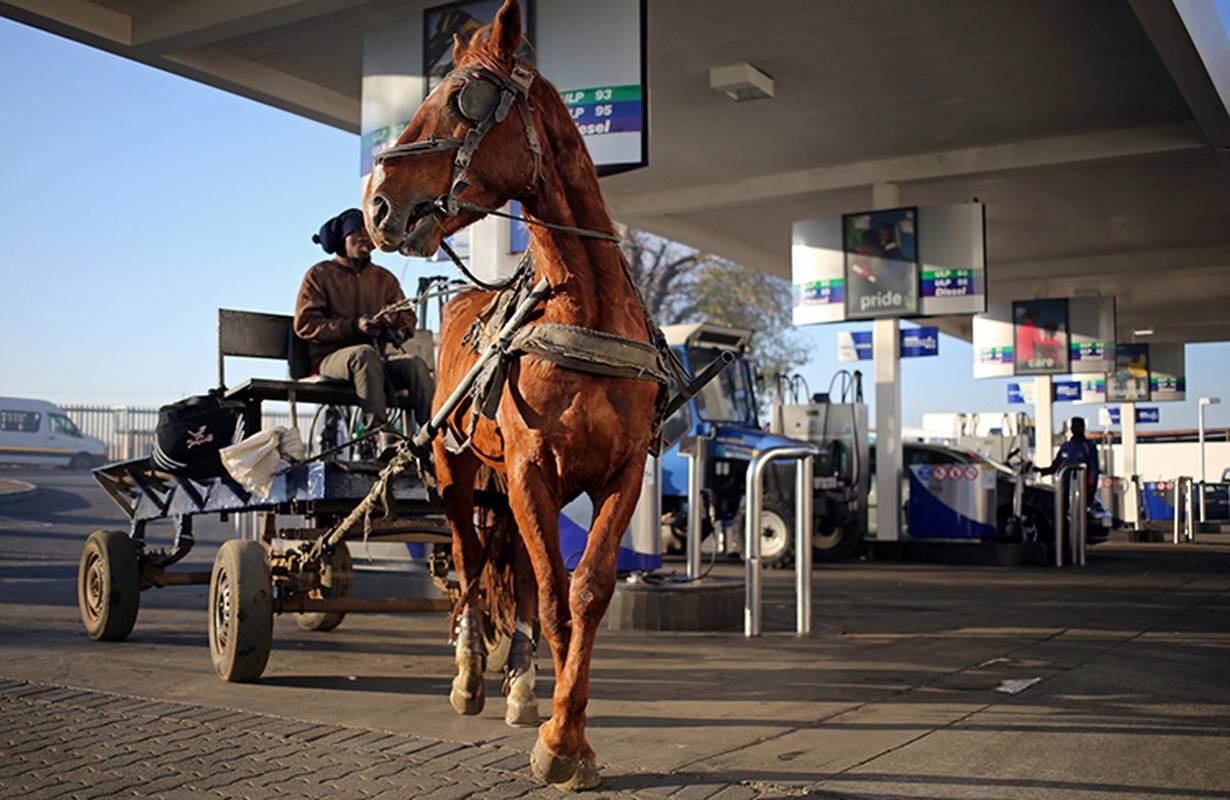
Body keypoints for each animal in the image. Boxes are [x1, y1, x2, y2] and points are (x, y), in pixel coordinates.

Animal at [359, 0, 659, 782]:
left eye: (463, 98)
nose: (375, 206)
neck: (580, 311)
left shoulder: (623, 471)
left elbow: (584, 590)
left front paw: (565, 728)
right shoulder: (528, 469)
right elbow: (555, 600)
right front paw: (560, 743)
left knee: (517, 569)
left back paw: (522, 679)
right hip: (458, 470)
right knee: (469, 559)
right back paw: (470, 671)